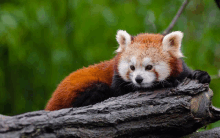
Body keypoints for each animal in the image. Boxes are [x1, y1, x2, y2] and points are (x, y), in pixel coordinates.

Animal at [45, 30, 211, 111]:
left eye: (149, 67)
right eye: (132, 67)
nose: (138, 79)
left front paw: (200, 75)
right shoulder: (117, 81)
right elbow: (119, 92)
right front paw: (165, 83)